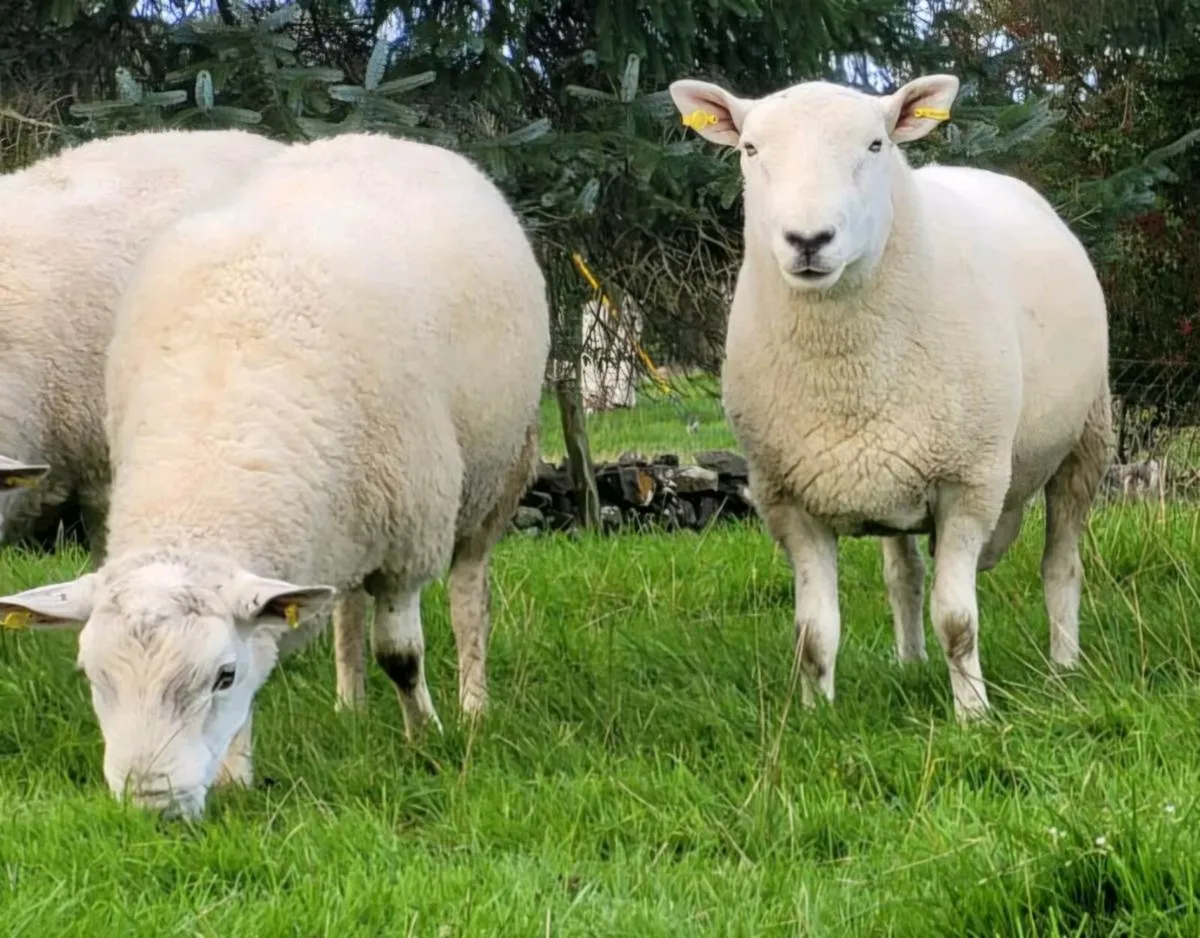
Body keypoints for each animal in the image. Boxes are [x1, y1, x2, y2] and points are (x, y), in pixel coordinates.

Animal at [670, 74, 1112, 722]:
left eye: (876, 144)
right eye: (750, 149)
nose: (808, 240)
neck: (845, 371)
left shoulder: (968, 484)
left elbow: (958, 619)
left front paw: (973, 715)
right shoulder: (788, 498)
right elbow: (813, 632)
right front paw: (816, 716)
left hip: (1086, 438)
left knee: (1062, 562)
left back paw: (1064, 664)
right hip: (892, 470)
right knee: (904, 573)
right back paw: (910, 662)